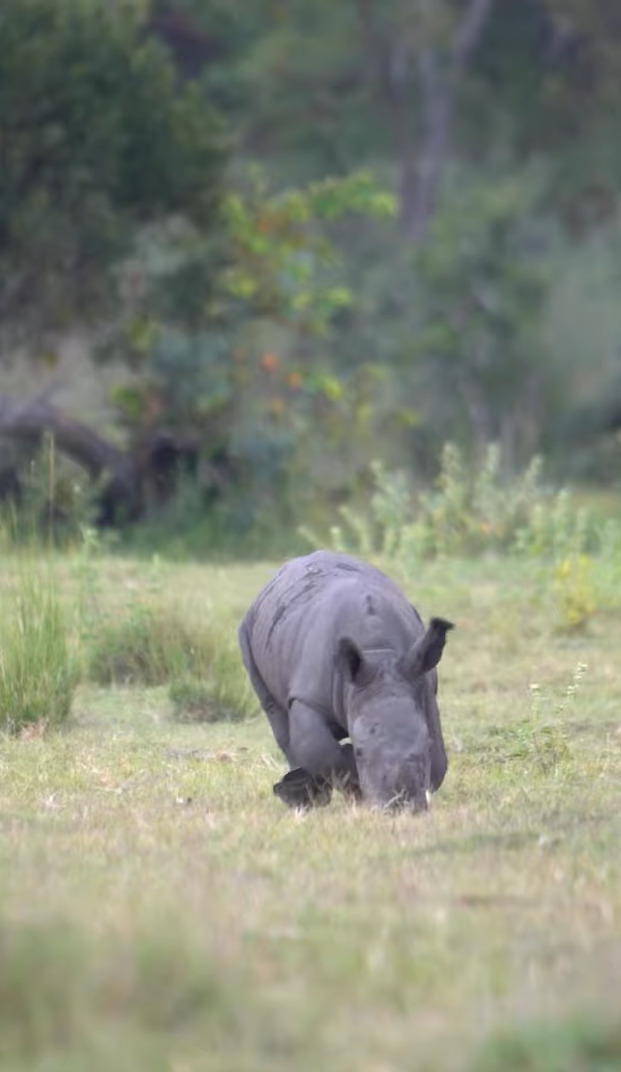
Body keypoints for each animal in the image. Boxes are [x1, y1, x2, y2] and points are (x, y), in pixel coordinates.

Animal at [237, 548, 452, 806]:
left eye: (425, 747)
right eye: (361, 751)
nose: (399, 805)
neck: (378, 652)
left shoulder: (421, 683)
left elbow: (439, 755)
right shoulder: (308, 698)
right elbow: (322, 751)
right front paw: (355, 790)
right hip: (247, 630)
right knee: (278, 718)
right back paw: (303, 798)